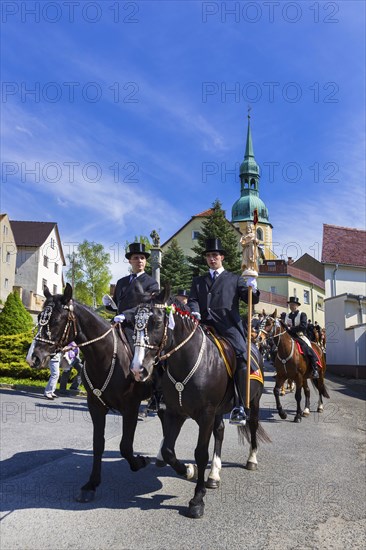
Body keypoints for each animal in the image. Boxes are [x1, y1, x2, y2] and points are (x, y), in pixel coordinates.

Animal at [29, 284, 153, 504]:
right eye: (40, 318)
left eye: (56, 320)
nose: (34, 358)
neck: (106, 357)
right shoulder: (96, 406)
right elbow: (98, 444)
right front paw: (92, 484)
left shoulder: (130, 407)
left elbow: (125, 446)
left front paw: (140, 462)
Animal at [129, 288, 268, 520]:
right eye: (134, 324)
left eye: (156, 323)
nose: (138, 369)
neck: (188, 361)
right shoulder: (175, 413)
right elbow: (168, 450)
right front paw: (189, 470)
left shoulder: (205, 414)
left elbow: (201, 453)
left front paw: (197, 500)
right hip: (219, 411)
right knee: (219, 432)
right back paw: (214, 474)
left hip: (252, 403)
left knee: (253, 426)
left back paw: (251, 460)